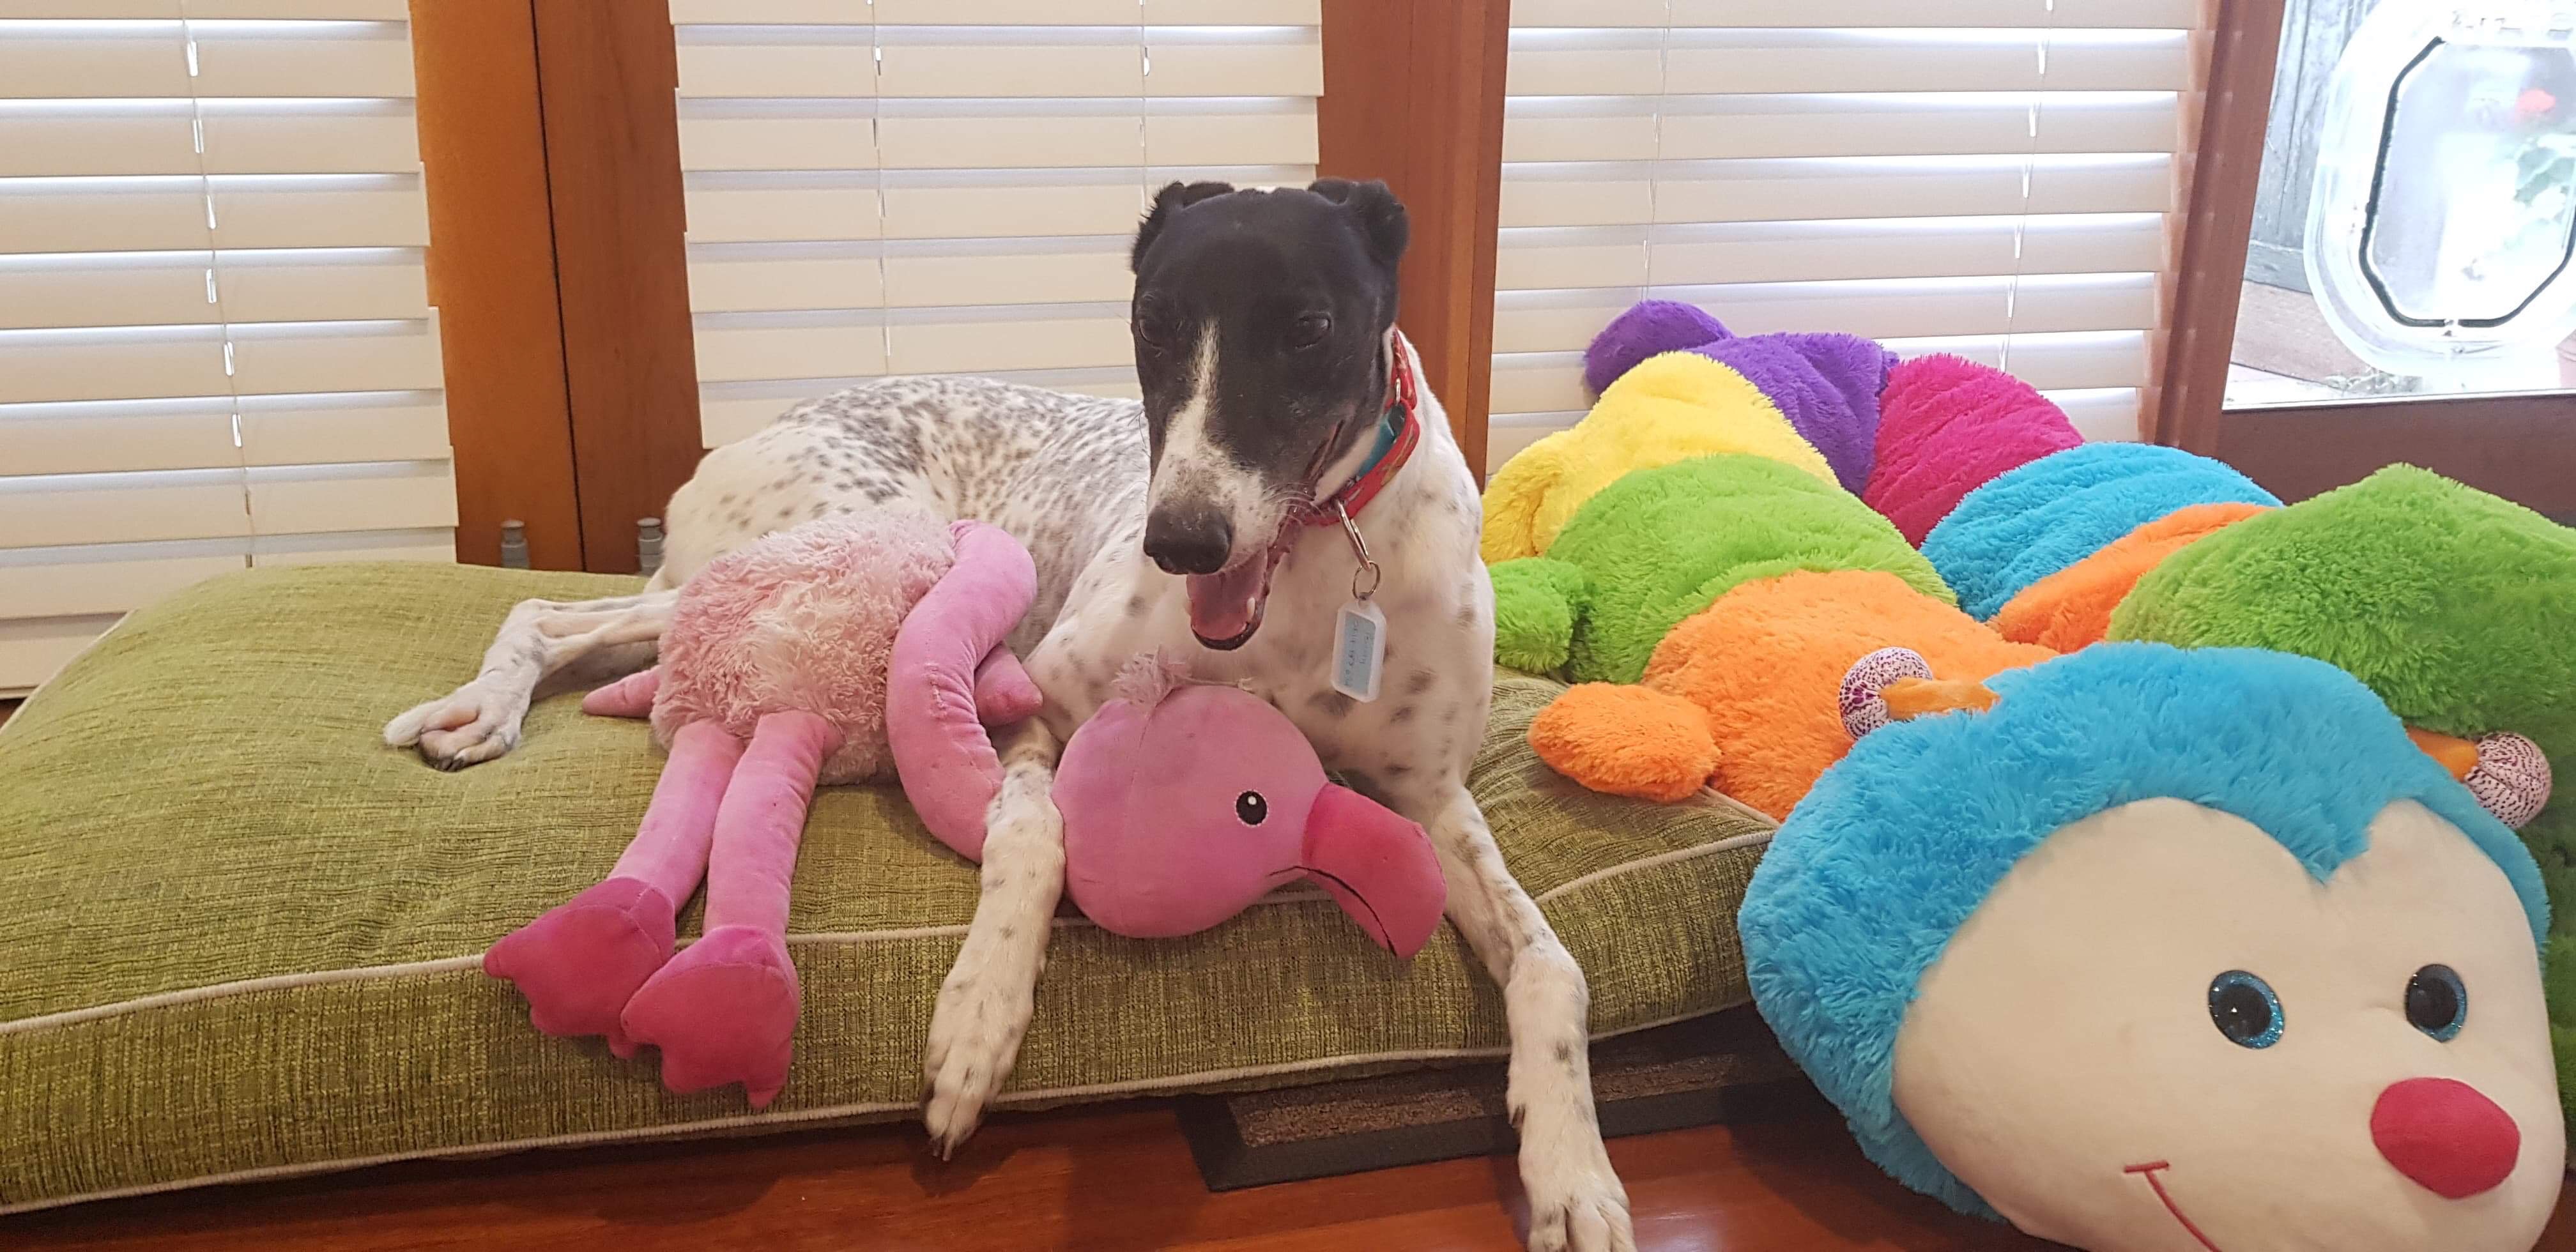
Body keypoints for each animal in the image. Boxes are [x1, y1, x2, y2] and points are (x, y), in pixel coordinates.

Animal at [387, 179, 1635, 1251]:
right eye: (1150, 323)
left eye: (1310, 327)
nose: (1179, 542)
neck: (1313, 576)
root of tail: (731, 450)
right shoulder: (1045, 706)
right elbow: (1035, 838)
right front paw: (979, 1020)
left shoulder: (1431, 797)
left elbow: (1554, 968)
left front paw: (1574, 1175)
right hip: (857, 551)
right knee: (547, 607)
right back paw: (478, 708)